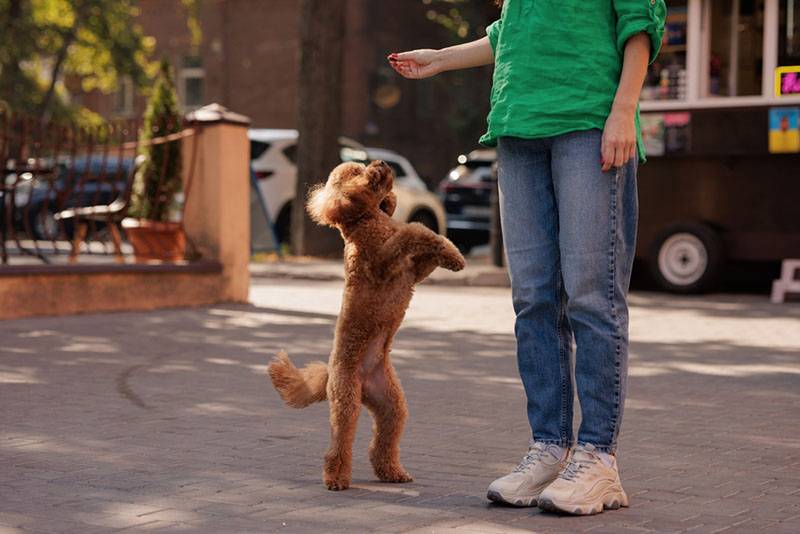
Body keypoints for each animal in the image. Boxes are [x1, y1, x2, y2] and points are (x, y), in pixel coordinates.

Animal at [268, 161, 466, 492]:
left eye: (361, 165)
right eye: (357, 173)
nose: (381, 163)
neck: (368, 219)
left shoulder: (412, 272)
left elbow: (428, 246)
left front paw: (453, 255)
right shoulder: (382, 264)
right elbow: (413, 231)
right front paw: (432, 238)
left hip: (390, 403)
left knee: (383, 440)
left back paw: (392, 471)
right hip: (346, 399)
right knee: (340, 442)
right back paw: (336, 478)